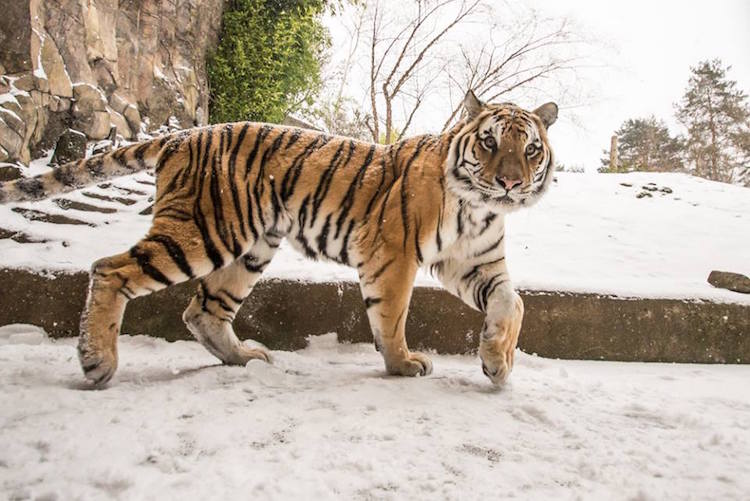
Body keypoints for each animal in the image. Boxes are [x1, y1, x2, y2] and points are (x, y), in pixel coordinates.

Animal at [0, 91, 560, 386]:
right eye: (488, 141)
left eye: (529, 149)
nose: (510, 183)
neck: (479, 207)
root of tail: (185, 134)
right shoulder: (392, 255)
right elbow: (393, 316)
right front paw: (403, 364)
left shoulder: (475, 264)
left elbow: (514, 304)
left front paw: (498, 362)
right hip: (202, 232)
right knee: (109, 269)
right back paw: (98, 362)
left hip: (247, 248)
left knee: (202, 310)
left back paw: (243, 359)